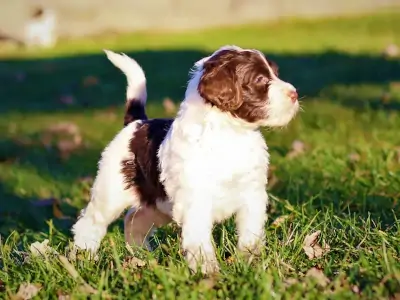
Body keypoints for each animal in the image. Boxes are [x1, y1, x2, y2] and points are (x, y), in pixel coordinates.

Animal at [72, 45, 298, 274]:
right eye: (260, 79)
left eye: (275, 73)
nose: (294, 94)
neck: (230, 133)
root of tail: (137, 122)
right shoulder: (195, 201)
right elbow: (199, 241)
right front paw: (207, 271)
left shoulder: (252, 195)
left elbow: (251, 233)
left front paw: (252, 263)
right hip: (111, 193)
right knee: (90, 222)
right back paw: (83, 257)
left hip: (159, 203)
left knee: (134, 219)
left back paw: (142, 255)